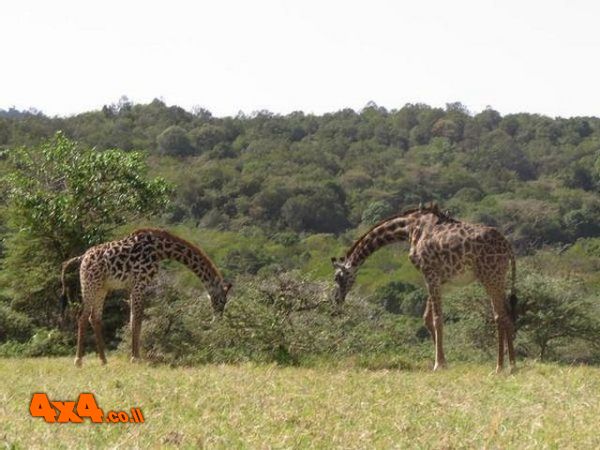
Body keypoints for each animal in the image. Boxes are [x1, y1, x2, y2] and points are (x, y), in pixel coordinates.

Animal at [59, 227, 231, 368]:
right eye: (221, 300)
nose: (218, 319)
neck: (160, 250)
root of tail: (82, 258)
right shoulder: (139, 284)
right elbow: (137, 320)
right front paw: (136, 358)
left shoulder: (137, 286)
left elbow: (134, 320)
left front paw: (135, 356)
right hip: (90, 283)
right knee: (83, 317)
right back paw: (78, 360)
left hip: (102, 288)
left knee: (94, 318)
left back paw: (103, 360)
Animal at [330, 204, 516, 372]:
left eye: (337, 277)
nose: (337, 299)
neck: (409, 228)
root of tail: (508, 246)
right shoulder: (440, 279)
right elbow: (427, 318)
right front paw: (444, 362)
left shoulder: (429, 273)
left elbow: (437, 319)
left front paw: (438, 364)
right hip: (499, 277)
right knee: (507, 315)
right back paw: (512, 365)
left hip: (490, 276)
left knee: (499, 316)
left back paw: (499, 367)